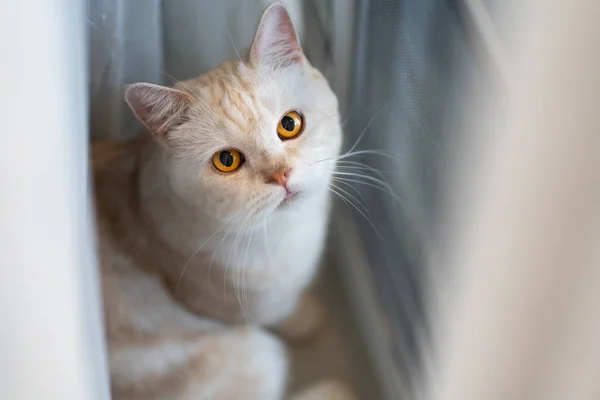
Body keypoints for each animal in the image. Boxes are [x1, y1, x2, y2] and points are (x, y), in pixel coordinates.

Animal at [94, 3, 356, 400]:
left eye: (290, 124)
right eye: (227, 160)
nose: (280, 175)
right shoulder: (240, 307)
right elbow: (281, 311)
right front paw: (308, 318)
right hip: (252, 358)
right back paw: (338, 390)